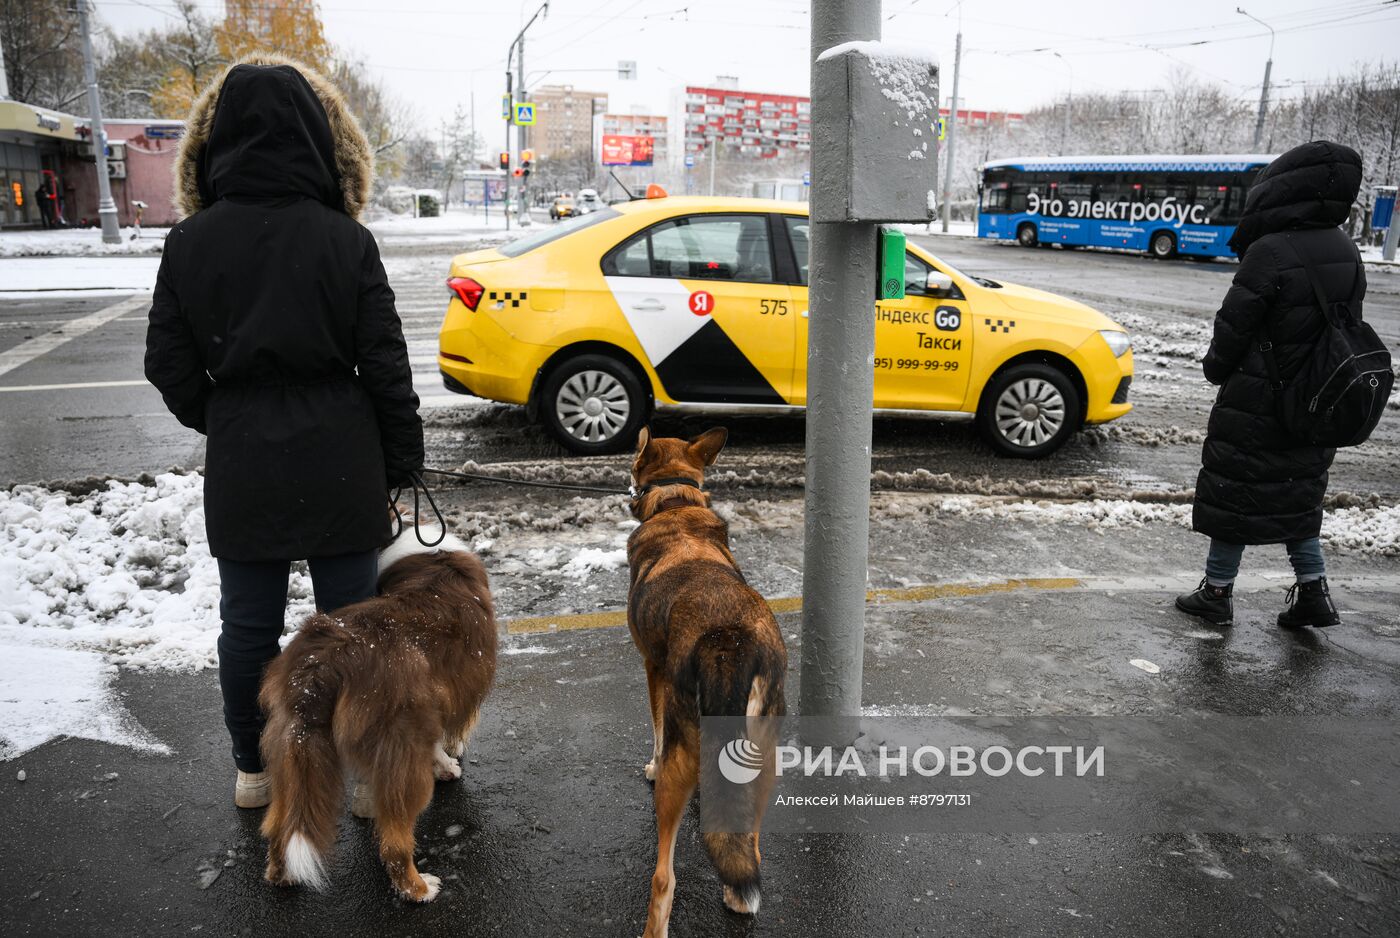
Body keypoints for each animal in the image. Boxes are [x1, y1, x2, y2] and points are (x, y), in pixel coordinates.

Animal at [259, 529, 498, 901]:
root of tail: (325, 663)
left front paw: (446, 765)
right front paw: (451, 760)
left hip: (290, 748)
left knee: (277, 824)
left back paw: (281, 874)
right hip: (402, 748)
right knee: (394, 843)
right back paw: (419, 888)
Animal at [632, 431, 795, 938]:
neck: (676, 504)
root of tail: (728, 641)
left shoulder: (653, 669)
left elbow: (654, 726)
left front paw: (648, 763)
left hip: (678, 769)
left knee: (664, 877)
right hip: (766, 761)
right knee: (749, 843)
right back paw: (739, 894)